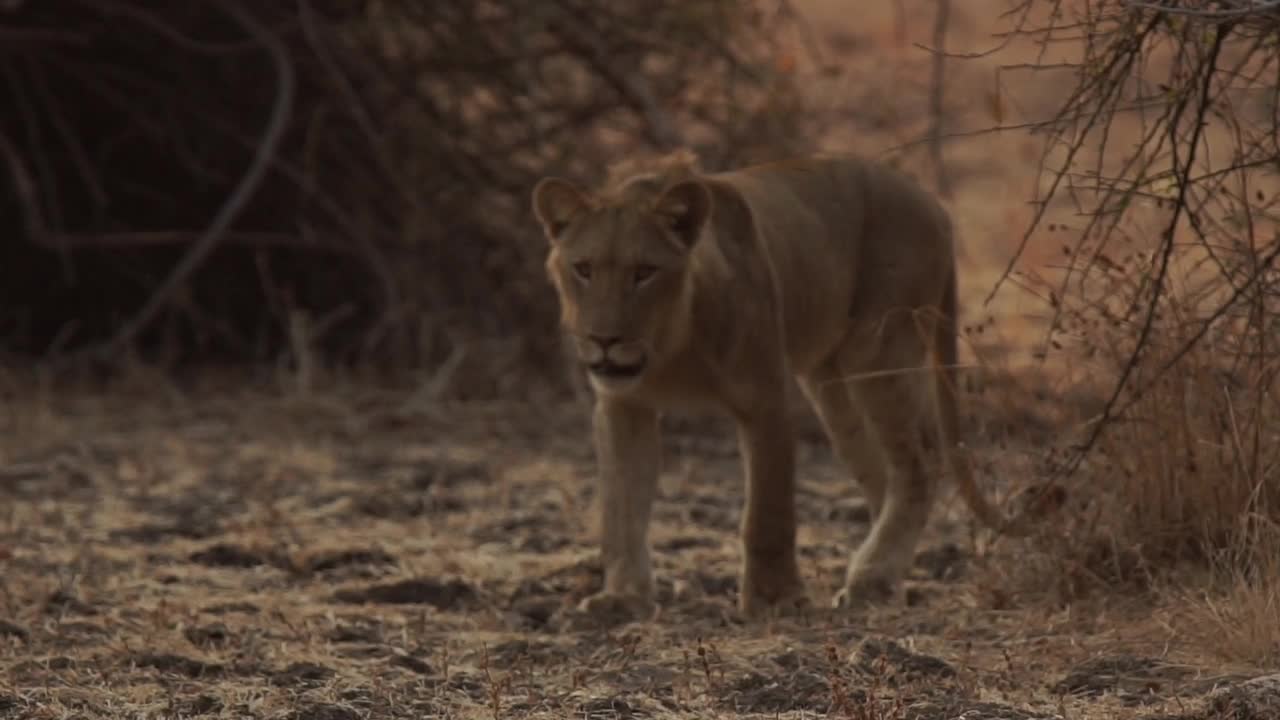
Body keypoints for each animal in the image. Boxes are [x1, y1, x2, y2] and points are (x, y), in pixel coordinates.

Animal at [529, 147, 1039, 617]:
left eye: (644, 272)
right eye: (584, 268)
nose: (604, 340)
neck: (671, 346)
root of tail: (935, 205)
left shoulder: (766, 398)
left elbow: (767, 513)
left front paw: (775, 598)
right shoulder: (623, 407)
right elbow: (622, 509)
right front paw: (622, 597)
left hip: (879, 350)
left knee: (921, 461)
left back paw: (872, 577)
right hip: (832, 388)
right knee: (883, 473)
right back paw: (885, 576)